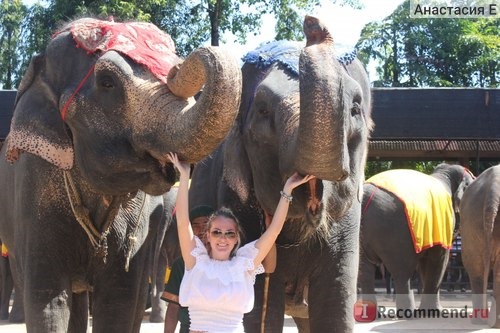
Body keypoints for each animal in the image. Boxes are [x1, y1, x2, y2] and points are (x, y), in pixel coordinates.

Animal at [188, 15, 372, 332]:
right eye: (262, 111)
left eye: (355, 108)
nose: (312, 24)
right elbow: (261, 303)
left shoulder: (348, 223)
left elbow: (335, 302)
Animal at [358, 165, 474, 312]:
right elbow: (439, 259)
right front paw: (436, 311)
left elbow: (426, 263)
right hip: (395, 233)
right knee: (402, 272)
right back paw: (408, 312)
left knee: (365, 271)